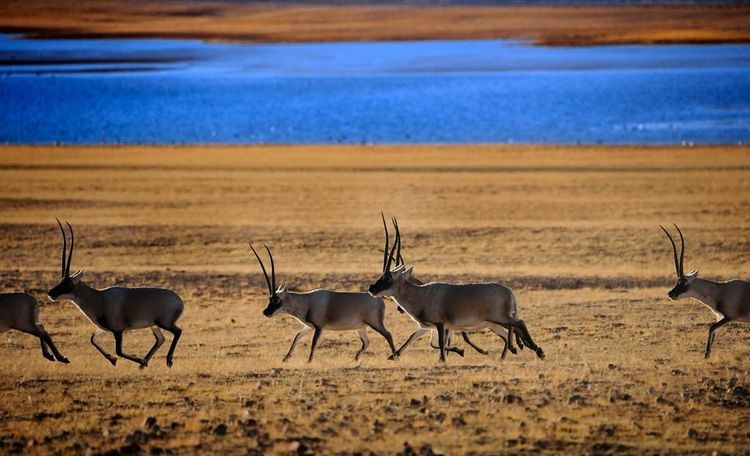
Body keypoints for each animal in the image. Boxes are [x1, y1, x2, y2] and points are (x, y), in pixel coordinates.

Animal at [47, 220, 184, 366]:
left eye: (67, 284)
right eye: (60, 281)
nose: (50, 293)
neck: (98, 297)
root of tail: (179, 301)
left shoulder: (118, 331)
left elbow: (119, 351)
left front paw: (133, 359)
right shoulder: (103, 329)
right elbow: (92, 339)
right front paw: (113, 359)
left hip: (164, 323)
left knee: (177, 331)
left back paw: (165, 360)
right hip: (154, 326)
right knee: (160, 339)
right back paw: (145, 362)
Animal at [251, 244, 400, 362]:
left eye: (276, 300)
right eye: (269, 299)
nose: (266, 312)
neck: (305, 301)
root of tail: (379, 299)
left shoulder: (319, 327)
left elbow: (313, 343)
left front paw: (308, 361)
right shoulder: (309, 326)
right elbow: (297, 337)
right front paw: (285, 358)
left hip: (375, 323)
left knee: (388, 334)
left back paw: (394, 356)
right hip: (361, 328)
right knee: (366, 342)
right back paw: (355, 359)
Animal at [370, 221, 548, 364]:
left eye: (387, 277)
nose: (371, 288)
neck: (420, 293)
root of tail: (509, 292)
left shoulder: (440, 325)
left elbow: (441, 344)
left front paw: (444, 360)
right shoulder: (434, 327)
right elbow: (420, 339)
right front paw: (393, 356)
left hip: (500, 318)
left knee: (519, 323)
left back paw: (537, 351)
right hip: (497, 321)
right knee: (513, 328)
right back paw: (514, 352)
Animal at [664, 224, 750, 360]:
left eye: (683, 282)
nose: (670, 294)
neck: (721, 290)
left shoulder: (730, 317)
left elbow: (711, 328)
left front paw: (706, 355)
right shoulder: (720, 317)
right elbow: (714, 332)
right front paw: (708, 355)